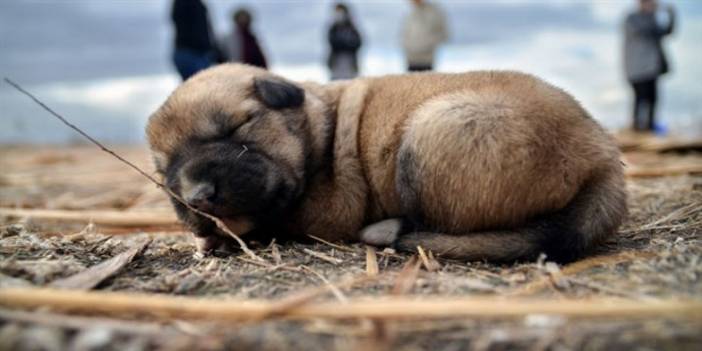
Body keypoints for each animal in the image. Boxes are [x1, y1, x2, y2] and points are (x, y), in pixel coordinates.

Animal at [146, 63, 628, 262]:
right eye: (164, 170)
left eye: (236, 128)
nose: (197, 198)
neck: (319, 127)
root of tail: (603, 155)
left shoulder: (326, 211)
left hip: (435, 132)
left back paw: (386, 231)